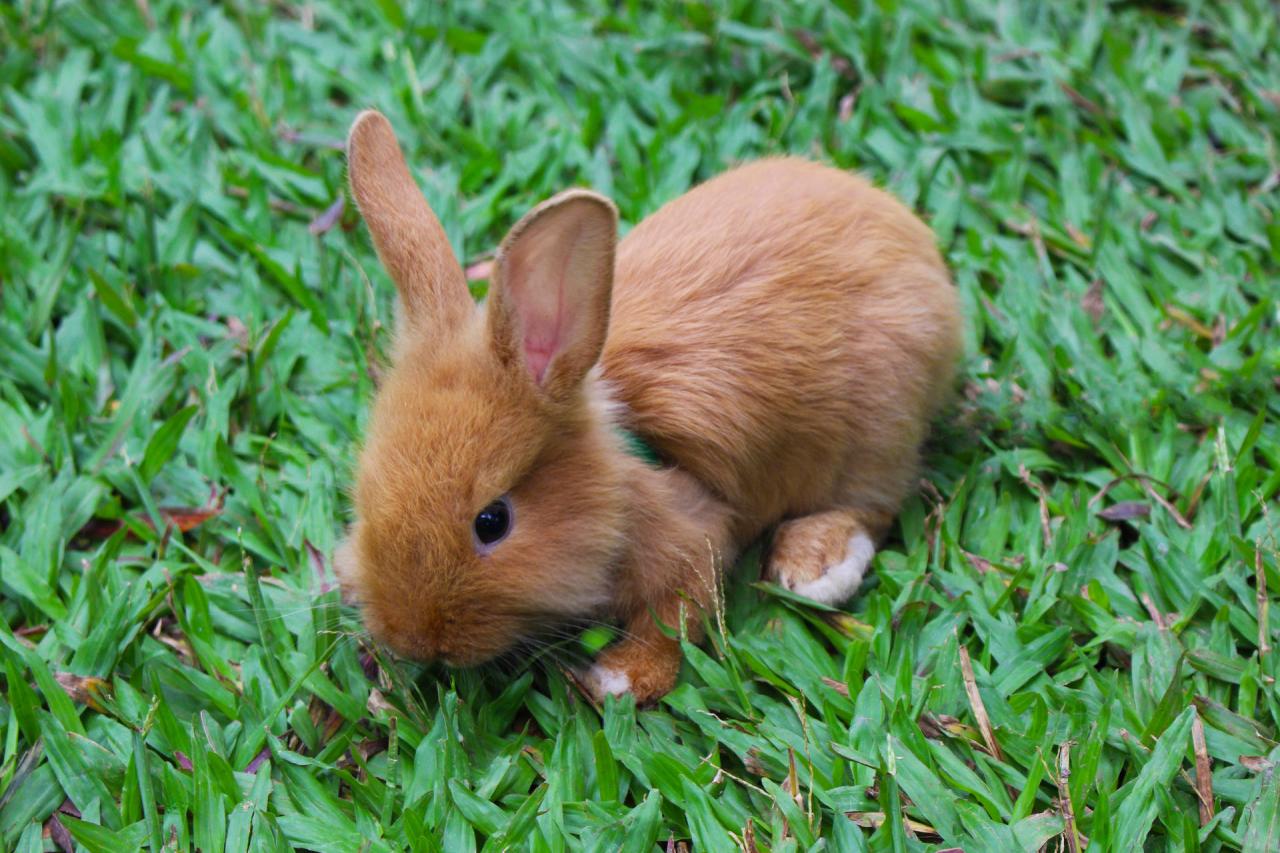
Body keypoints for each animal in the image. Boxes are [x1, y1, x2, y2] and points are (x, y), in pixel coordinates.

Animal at [334, 110, 962, 704]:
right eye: (364, 491)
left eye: (493, 522)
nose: (411, 639)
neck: (619, 475)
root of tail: (916, 245)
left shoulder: (694, 540)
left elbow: (673, 619)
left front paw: (618, 680)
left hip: (875, 429)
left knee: (872, 502)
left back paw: (814, 567)